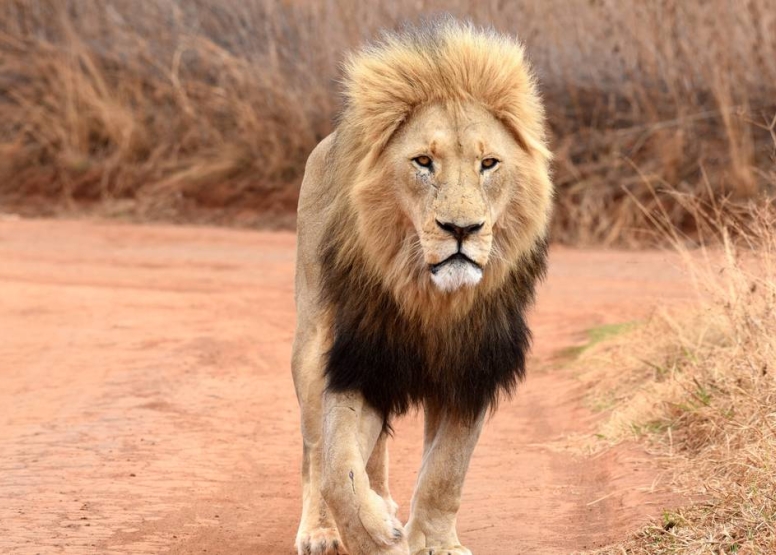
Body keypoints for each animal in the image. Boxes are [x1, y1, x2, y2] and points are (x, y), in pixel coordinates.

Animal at [292, 19, 552, 555]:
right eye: (423, 162)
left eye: (489, 164)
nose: (461, 229)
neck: (432, 299)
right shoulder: (357, 358)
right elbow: (336, 470)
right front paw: (372, 536)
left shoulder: (471, 368)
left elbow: (445, 472)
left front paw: (433, 541)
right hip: (310, 348)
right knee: (313, 451)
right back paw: (321, 531)